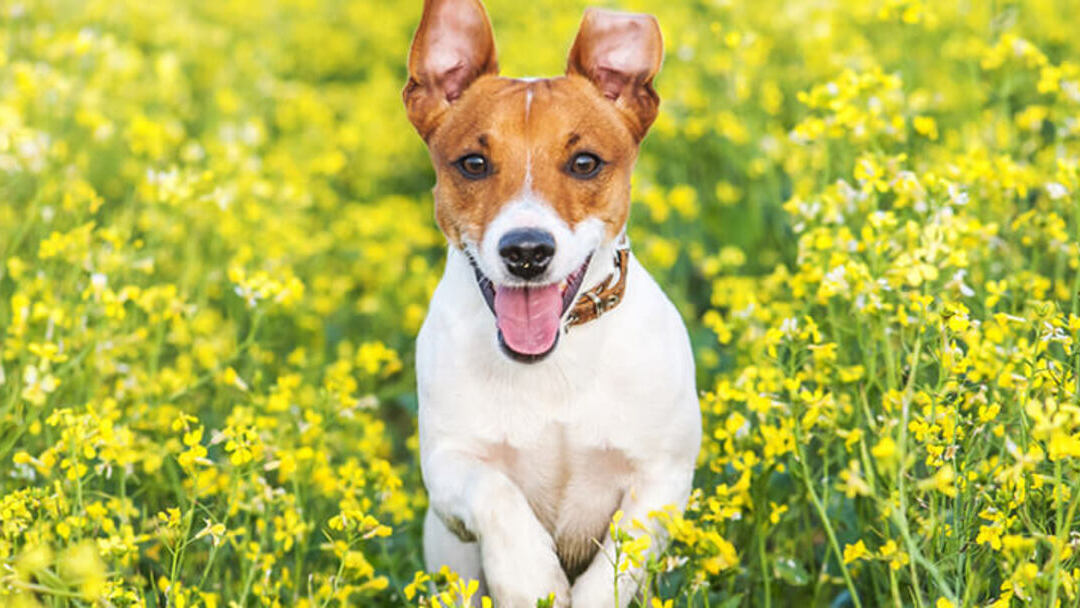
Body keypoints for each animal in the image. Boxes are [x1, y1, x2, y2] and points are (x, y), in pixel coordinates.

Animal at [406, 2, 699, 604]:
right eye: (473, 163)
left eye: (585, 163)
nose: (526, 251)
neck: (553, 364)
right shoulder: (447, 470)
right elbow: (494, 493)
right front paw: (528, 577)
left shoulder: (662, 479)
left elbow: (615, 567)